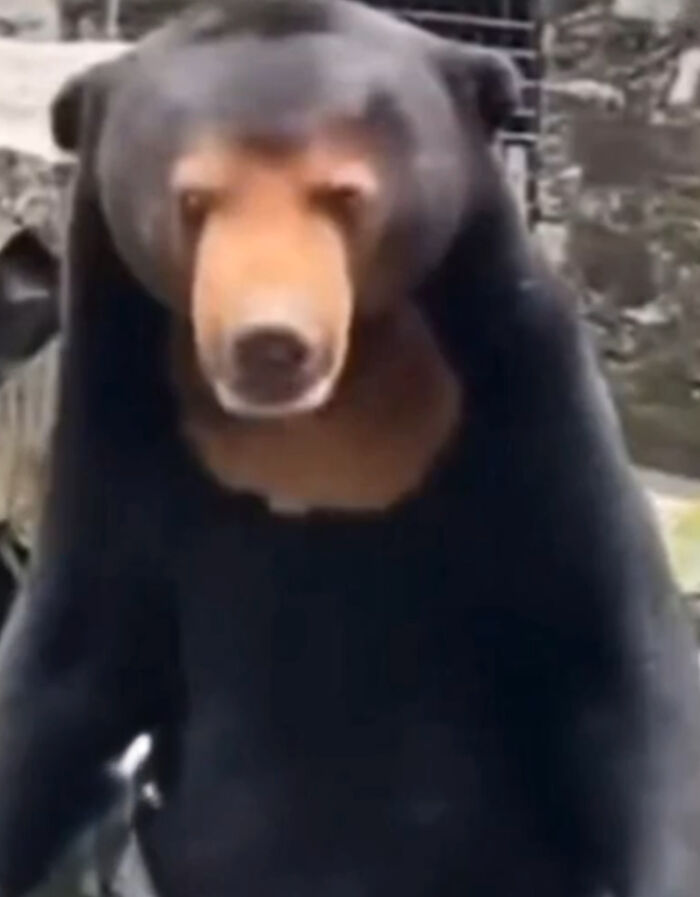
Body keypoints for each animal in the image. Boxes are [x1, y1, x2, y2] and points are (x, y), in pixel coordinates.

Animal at [0, 1, 699, 896]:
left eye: (343, 195)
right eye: (194, 200)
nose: (270, 342)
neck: (322, 426)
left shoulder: (529, 394)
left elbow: (613, 667)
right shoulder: (116, 419)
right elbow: (67, 668)